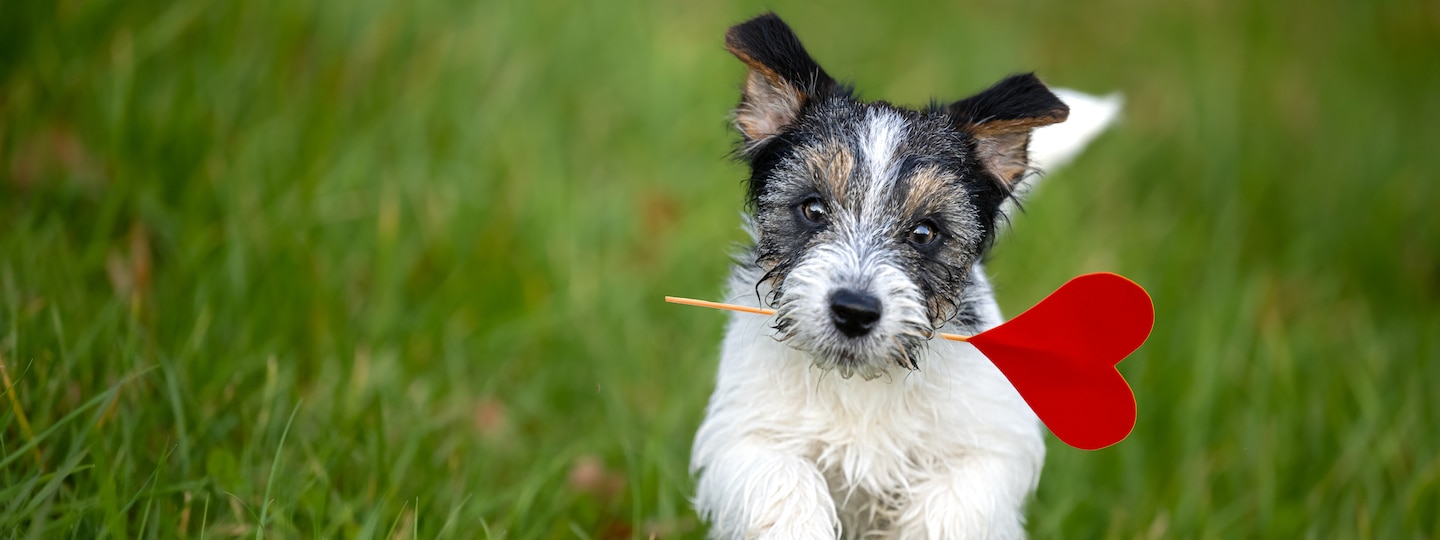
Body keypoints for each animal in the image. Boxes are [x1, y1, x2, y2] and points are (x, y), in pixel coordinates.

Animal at [688, 12, 1123, 540]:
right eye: (812, 208)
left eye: (924, 232)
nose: (855, 311)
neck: (862, 385)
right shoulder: (746, 436)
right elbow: (784, 486)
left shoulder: (990, 450)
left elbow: (950, 508)